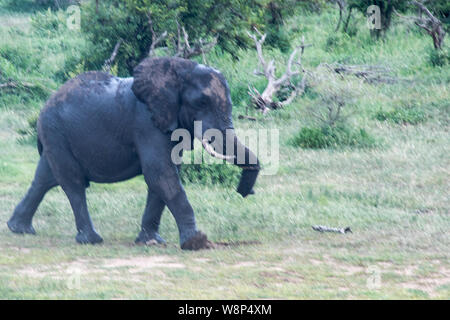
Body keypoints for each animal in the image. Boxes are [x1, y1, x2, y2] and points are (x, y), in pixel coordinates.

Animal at [7, 57, 260, 250]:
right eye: (201, 102)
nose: (244, 191)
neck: (178, 69)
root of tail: (45, 104)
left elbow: (163, 176)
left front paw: (150, 241)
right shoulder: (146, 123)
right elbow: (160, 173)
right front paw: (196, 243)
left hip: (56, 137)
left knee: (44, 179)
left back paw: (19, 229)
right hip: (56, 132)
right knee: (73, 183)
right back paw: (91, 240)